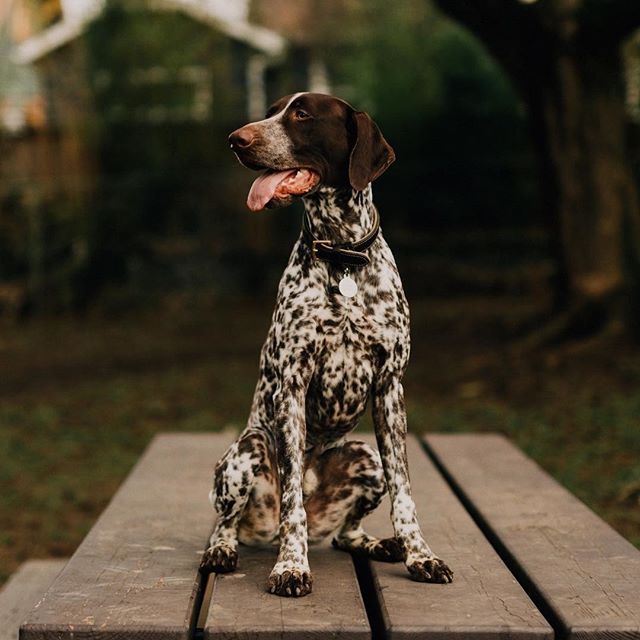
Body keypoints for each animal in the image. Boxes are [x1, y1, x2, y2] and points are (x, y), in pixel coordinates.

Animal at [202, 92, 452, 596]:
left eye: (302, 115)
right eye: (271, 111)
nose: (237, 139)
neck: (343, 257)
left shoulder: (390, 387)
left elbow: (405, 493)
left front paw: (420, 555)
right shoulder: (292, 384)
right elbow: (292, 500)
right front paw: (290, 566)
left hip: (365, 457)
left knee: (345, 533)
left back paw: (375, 544)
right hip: (247, 451)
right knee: (227, 521)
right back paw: (225, 549)